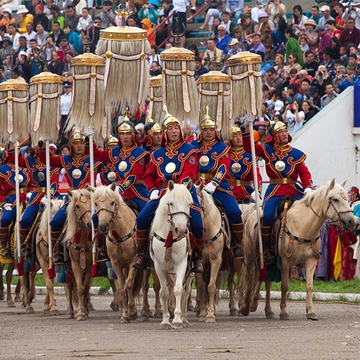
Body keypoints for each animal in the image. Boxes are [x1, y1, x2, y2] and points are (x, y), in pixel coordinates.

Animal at [90, 183, 142, 324]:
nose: (103, 226)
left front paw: (132, 311)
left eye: (112, 202)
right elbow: (122, 286)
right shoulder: (116, 264)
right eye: (95, 203)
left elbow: (128, 285)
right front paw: (125, 314)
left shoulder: (133, 261)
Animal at [150, 180, 194, 330]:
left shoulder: (182, 263)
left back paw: (184, 318)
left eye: (189, 204)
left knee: (186, 290)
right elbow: (164, 292)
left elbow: (179, 290)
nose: (181, 230)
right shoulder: (158, 265)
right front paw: (165, 320)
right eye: (171, 203)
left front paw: (177, 320)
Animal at [240, 180, 356, 320]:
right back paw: (246, 306)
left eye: (347, 199)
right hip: (251, 255)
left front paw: (310, 311)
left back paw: (266, 310)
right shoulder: (285, 263)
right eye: (335, 199)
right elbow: (285, 286)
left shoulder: (311, 261)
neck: (302, 226)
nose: (352, 221)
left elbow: (309, 286)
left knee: (265, 281)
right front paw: (284, 311)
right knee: (250, 277)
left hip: (269, 261)